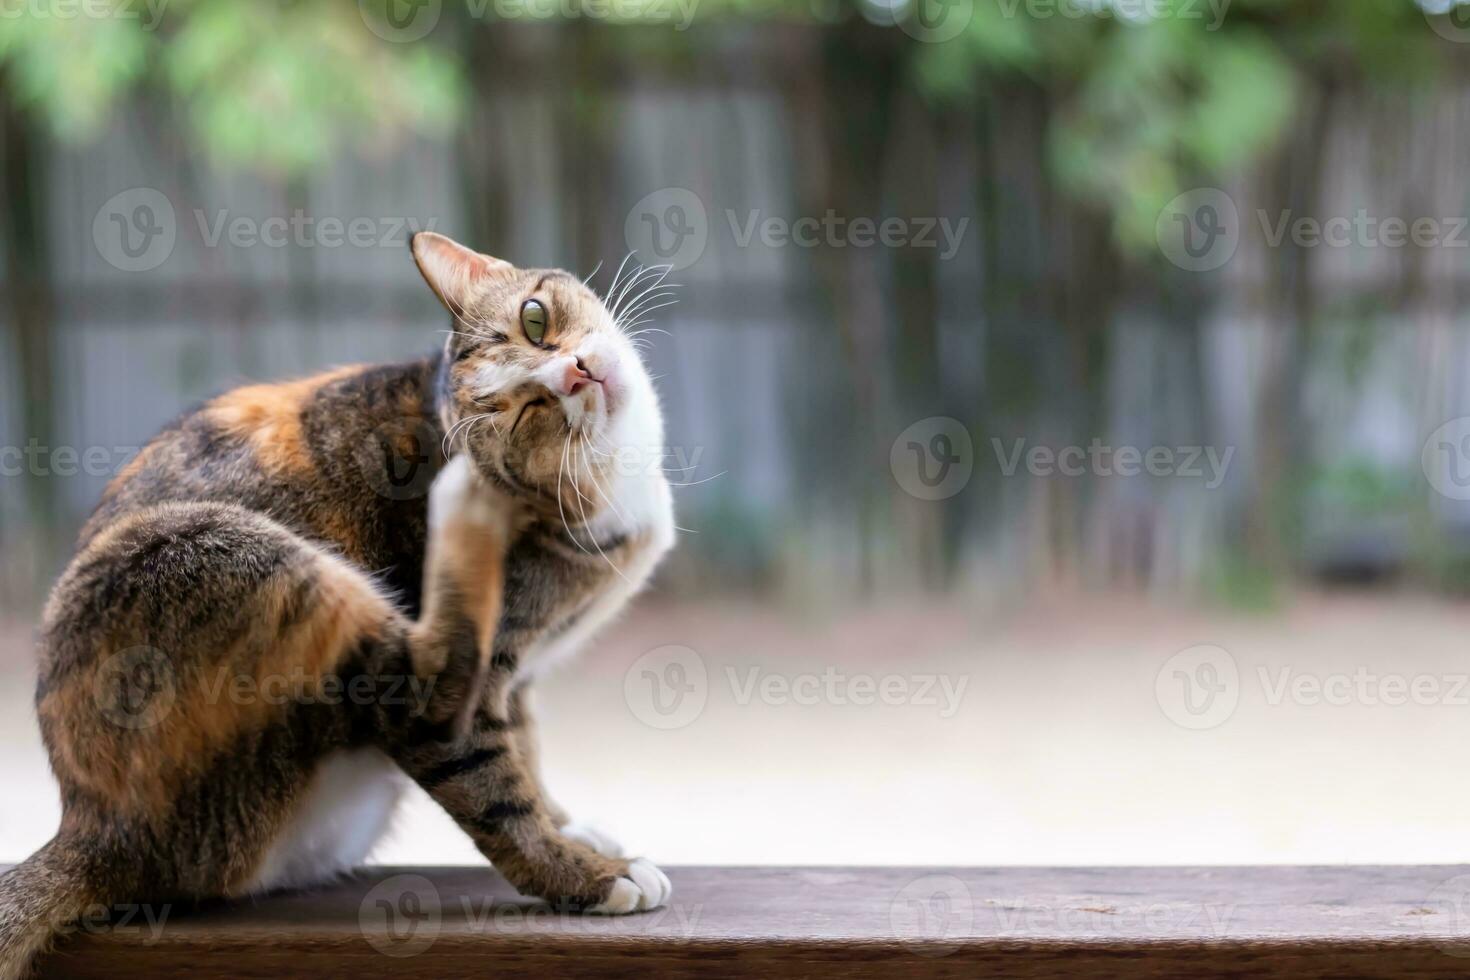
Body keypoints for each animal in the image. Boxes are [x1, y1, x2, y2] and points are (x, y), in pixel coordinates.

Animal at [0, 233, 676, 975]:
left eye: (534, 319)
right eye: (529, 412)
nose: (577, 372)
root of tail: (93, 828)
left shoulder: (517, 681)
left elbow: (524, 755)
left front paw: (572, 828)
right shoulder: (488, 679)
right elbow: (497, 791)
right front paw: (588, 875)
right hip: (235, 557)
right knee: (425, 684)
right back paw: (461, 513)